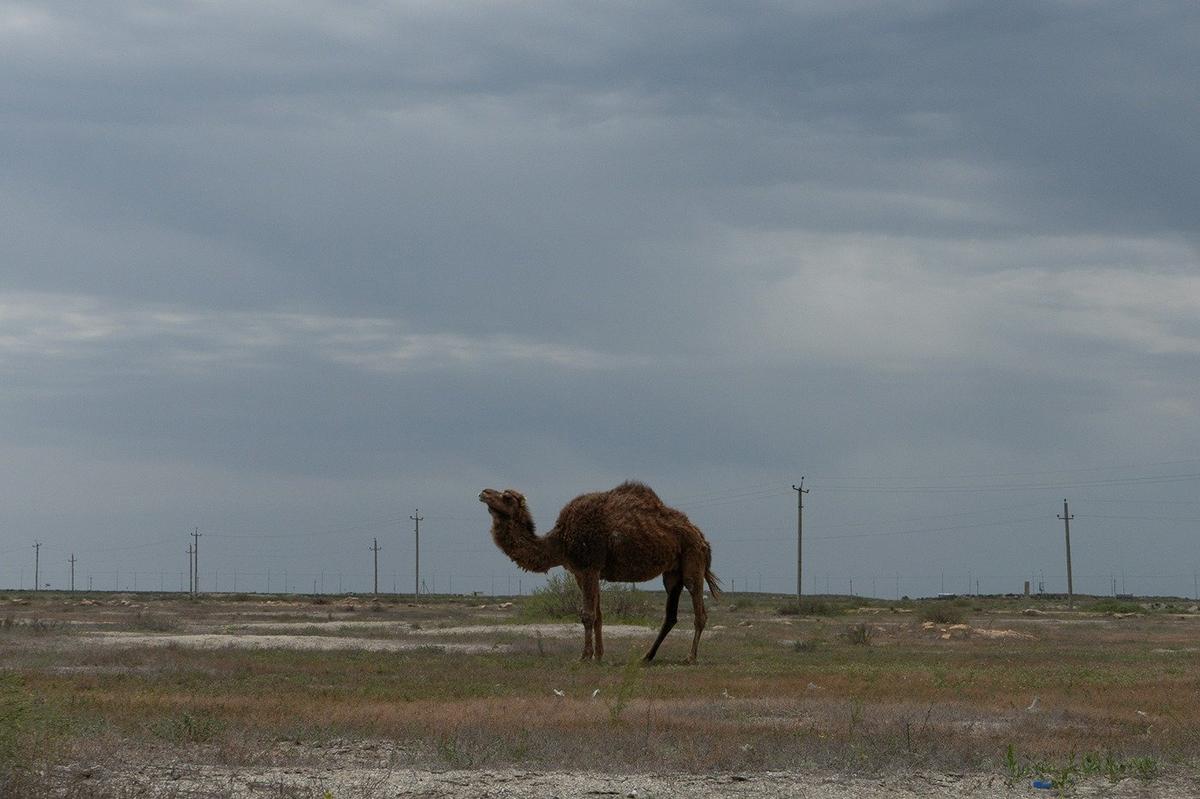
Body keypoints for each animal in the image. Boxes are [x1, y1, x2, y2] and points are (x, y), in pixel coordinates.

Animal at [479, 481, 721, 663]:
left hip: (692, 559)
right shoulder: (581, 572)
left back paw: (690, 657)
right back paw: (646, 656)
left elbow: (587, 614)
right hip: (672, 573)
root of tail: (702, 538)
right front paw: (599, 655)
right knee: (670, 614)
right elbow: (598, 615)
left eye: (507, 497)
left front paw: (584, 656)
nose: (483, 493)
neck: (560, 540)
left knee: (699, 609)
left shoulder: (588, 566)